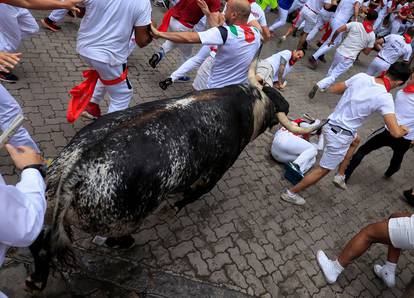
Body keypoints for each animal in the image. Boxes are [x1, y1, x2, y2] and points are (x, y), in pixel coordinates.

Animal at [25, 84, 320, 292]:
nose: (289, 106)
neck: (246, 103)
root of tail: (75, 169)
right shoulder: (213, 175)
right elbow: (188, 197)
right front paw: (173, 207)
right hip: (122, 220)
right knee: (111, 237)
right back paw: (125, 243)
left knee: (41, 241)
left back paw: (35, 281)